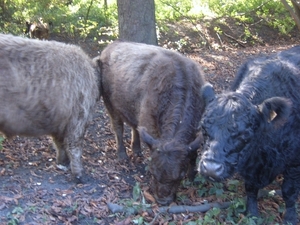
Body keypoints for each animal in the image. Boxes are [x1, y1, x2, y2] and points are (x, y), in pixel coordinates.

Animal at [0, 33, 102, 182]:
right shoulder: (78, 118)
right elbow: (74, 147)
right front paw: (78, 175)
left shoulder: (60, 123)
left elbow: (59, 144)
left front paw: (62, 163)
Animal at [97, 40, 207, 204]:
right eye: (153, 173)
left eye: (179, 177)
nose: (162, 201)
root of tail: (110, 47)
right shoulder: (151, 126)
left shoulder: (194, 131)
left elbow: (193, 153)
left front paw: (192, 177)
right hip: (111, 106)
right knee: (118, 128)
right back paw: (122, 155)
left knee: (134, 128)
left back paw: (137, 150)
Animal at [199, 46, 300, 225]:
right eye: (204, 128)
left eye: (245, 135)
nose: (211, 169)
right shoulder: (250, 167)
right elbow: (251, 189)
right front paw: (252, 214)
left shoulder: (294, 162)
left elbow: (289, 191)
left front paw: (290, 218)